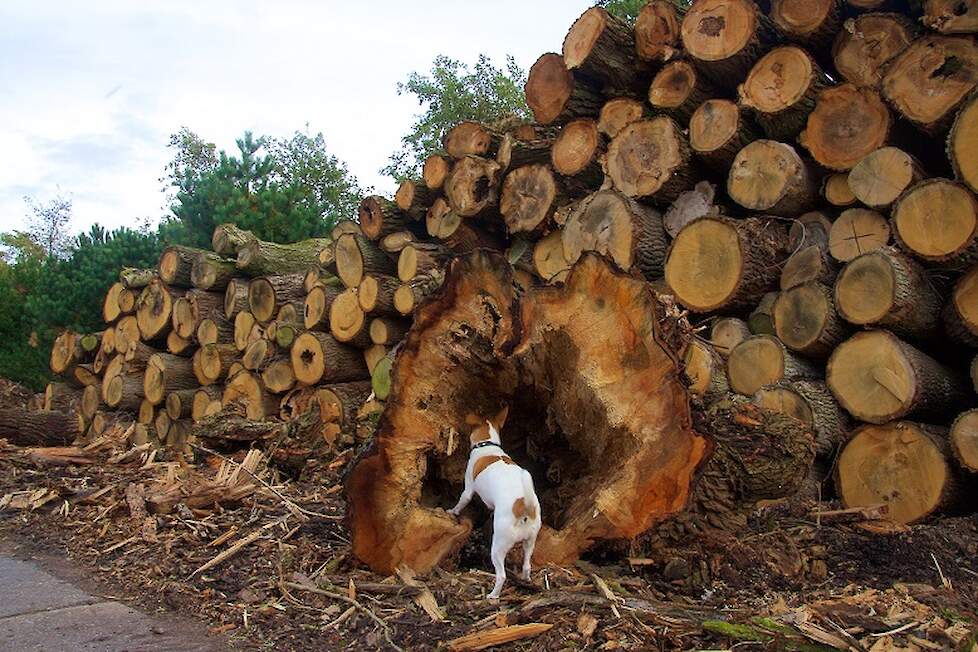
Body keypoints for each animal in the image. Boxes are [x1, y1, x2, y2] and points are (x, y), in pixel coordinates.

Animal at [446, 408, 536, 600]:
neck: (487, 444)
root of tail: (524, 506)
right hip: (530, 541)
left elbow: (462, 501)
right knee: (527, 565)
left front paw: (453, 511)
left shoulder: (468, 488)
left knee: (501, 575)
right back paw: (525, 580)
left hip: (498, 546)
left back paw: (493, 595)